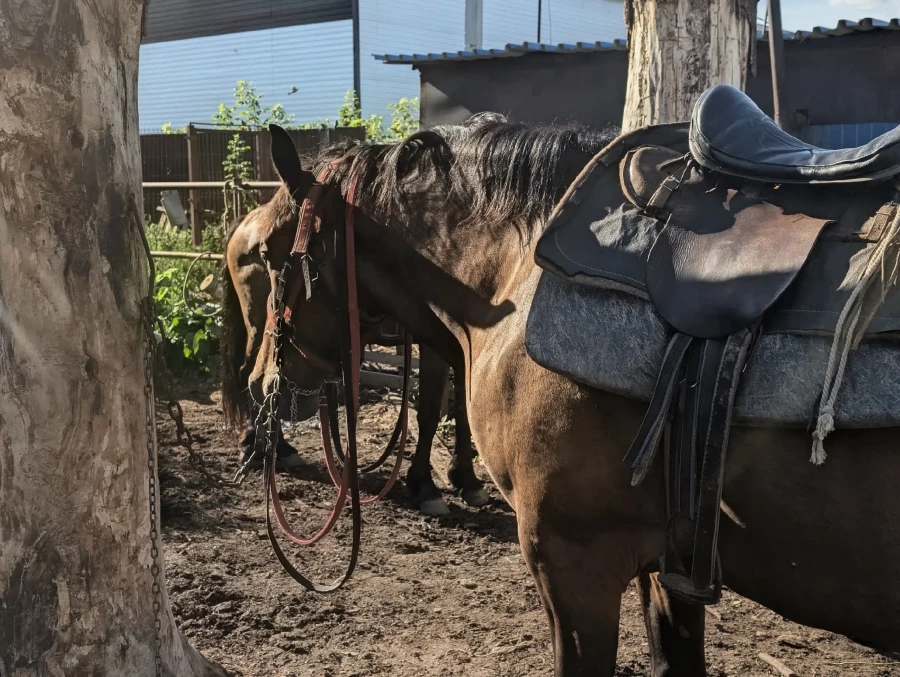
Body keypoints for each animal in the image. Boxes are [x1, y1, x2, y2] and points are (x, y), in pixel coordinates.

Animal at [219, 199, 488, 515]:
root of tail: (247, 220)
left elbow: (464, 412)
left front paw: (467, 480)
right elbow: (431, 411)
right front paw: (425, 486)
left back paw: (279, 449)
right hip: (260, 324)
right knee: (251, 375)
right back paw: (253, 444)